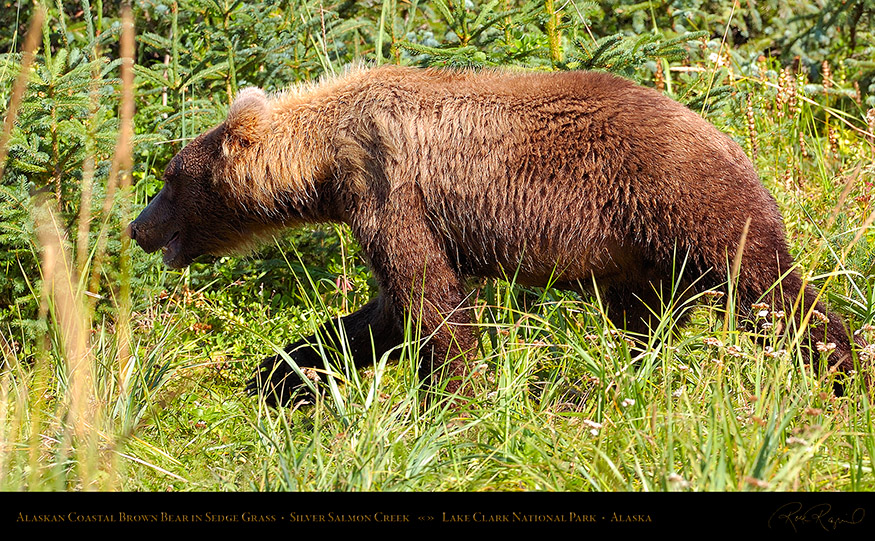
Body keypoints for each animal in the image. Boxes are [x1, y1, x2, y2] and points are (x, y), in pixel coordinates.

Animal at [128, 64, 864, 404]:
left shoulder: (391, 190)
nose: (137, 226)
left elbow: (432, 305)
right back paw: (630, 378)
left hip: (683, 199)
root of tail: (728, 136)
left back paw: (839, 372)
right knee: (647, 319)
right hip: (640, 255)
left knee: (772, 290)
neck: (324, 160)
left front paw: (449, 401)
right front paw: (281, 372)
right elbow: (386, 312)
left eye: (168, 177)